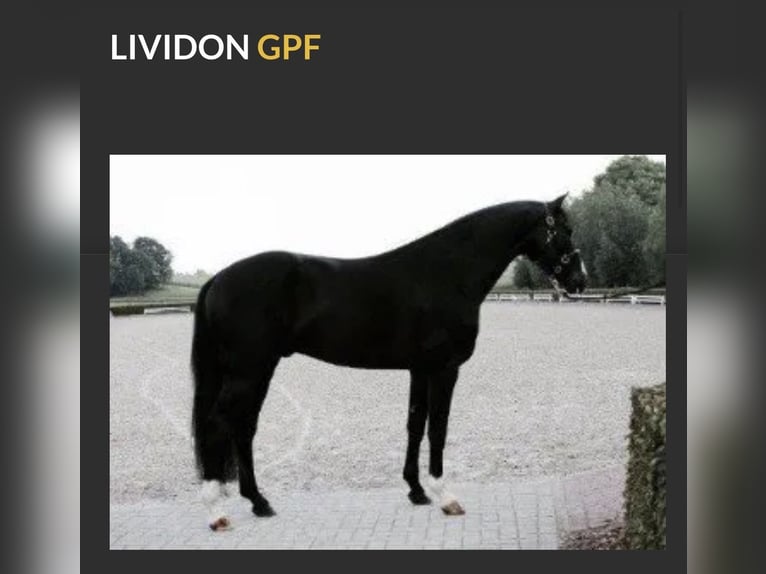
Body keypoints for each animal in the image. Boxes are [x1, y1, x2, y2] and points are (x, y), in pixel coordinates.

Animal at [191, 193, 586, 530]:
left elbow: (415, 425)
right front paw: (445, 496)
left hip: (259, 370)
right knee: (216, 424)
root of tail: (219, 277)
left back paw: (259, 502)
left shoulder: (420, 369)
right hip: (248, 371)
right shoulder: (444, 369)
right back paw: (216, 512)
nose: (579, 281)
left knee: (243, 428)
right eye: (565, 230)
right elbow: (438, 429)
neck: (447, 272)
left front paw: (417, 490)